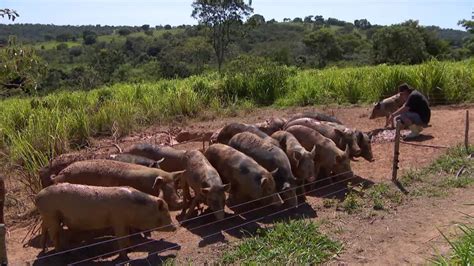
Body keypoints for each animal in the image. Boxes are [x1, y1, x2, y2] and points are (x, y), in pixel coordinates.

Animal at [36, 184, 175, 256]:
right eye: (164, 214)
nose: (175, 227)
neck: (135, 208)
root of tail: (37, 196)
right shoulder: (118, 221)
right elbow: (121, 237)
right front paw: (124, 256)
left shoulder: (125, 223)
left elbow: (127, 236)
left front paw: (130, 249)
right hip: (51, 215)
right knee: (53, 234)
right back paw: (61, 252)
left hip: (47, 216)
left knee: (44, 229)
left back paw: (44, 250)